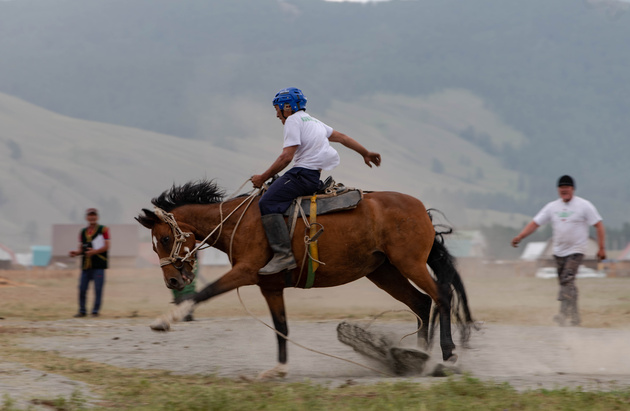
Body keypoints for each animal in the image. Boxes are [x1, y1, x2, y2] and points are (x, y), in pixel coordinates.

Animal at [137, 179, 474, 378]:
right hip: (384, 271)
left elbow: (205, 293)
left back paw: (446, 355)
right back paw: (417, 356)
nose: (172, 282)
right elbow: (281, 326)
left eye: (165, 239)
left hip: (409, 263)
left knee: (441, 296)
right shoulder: (270, 286)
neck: (238, 222)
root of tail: (421, 210)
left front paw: (166, 319)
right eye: (153, 244)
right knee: (421, 303)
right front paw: (280, 368)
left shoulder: (244, 272)